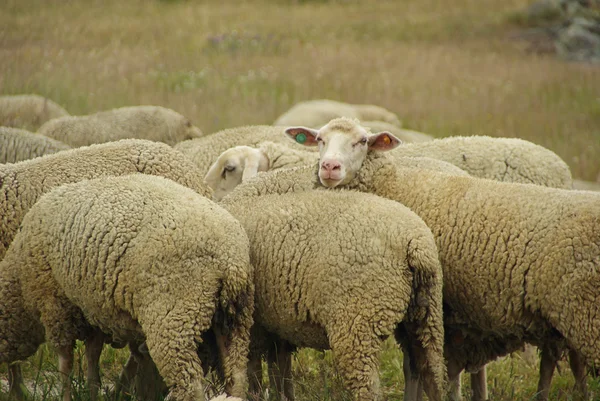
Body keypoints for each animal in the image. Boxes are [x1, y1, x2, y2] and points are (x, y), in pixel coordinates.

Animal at [1, 174, 253, 400]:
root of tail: (230, 259)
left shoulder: (55, 304)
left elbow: (65, 363)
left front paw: (67, 396)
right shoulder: (93, 309)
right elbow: (92, 357)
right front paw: (92, 393)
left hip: (174, 318)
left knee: (191, 387)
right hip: (234, 318)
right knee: (237, 376)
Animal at [220, 179, 446, 400]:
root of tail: (414, 243)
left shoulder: (254, 324)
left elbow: (252, 369)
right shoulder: (278, 323)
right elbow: (280, 369)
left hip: (357, 322)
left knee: (368, 388)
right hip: (426, 313)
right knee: (430, 370)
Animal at [288, 118, 596, 400]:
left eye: (362, 141)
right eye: (320, 140)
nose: (329, 167)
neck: (394, 185)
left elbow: (415, 366)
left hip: (584, 313)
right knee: (574, 364)